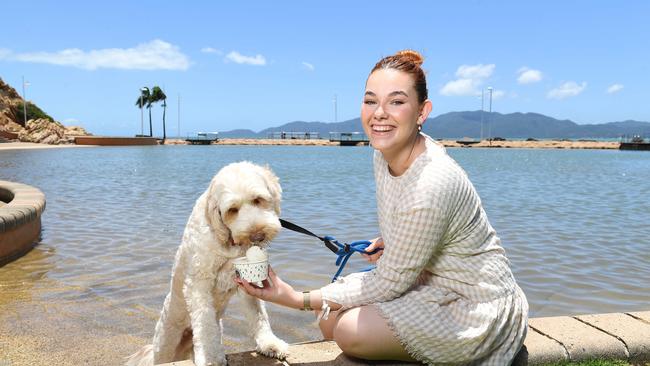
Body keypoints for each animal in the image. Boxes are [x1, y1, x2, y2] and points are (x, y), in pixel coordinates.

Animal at [125, 162, 288, 364]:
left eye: (258, 199)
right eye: (232, 209)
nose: (257, 236)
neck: (227, 241)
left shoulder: (245, 282)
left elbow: (258, 315)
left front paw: (270, 344)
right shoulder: (198, 283)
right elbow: (204, 323)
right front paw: (210, 357)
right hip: (165, 346)